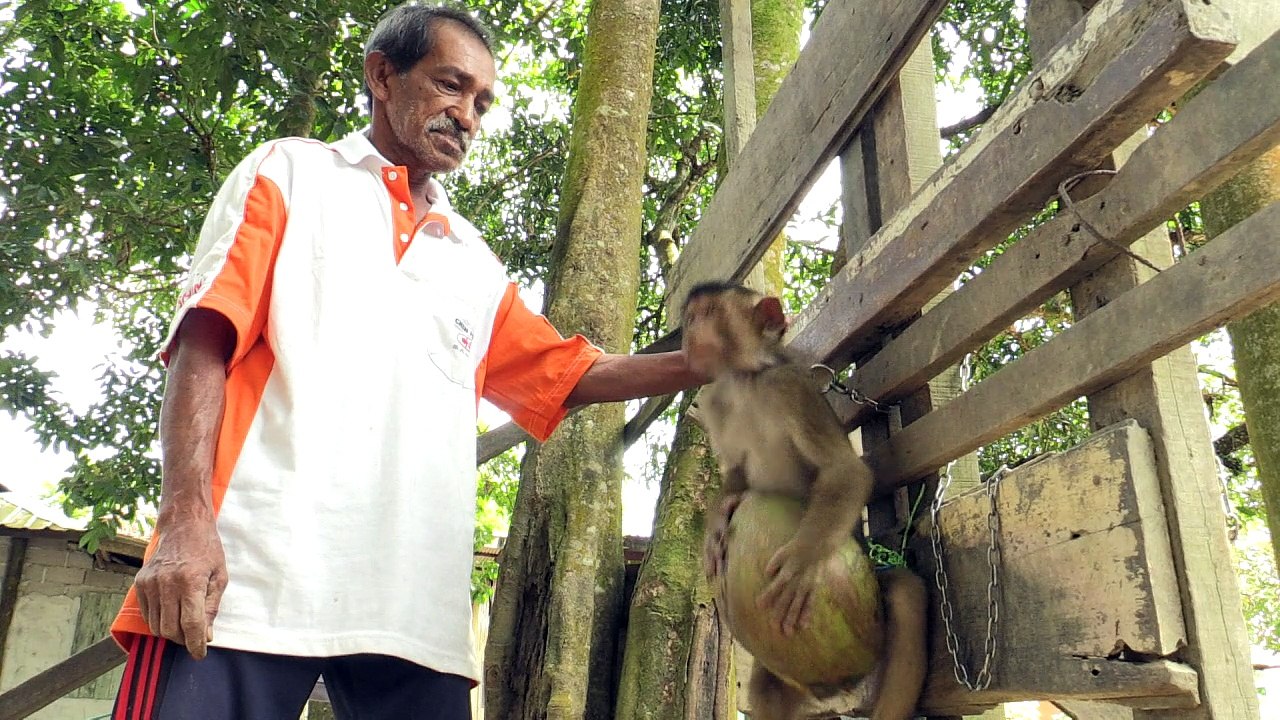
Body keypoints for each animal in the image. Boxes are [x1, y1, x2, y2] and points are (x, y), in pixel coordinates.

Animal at [682, 281, 927, 720]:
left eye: (706, 313)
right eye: (690, 317)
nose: (688, 333)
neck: (745, 380)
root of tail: (839, 692)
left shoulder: (789, 387)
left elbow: (844, 471)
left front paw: (801, 562)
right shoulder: (713, 401)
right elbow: (735, 478)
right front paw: (716, 525)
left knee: (906, 593)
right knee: (766, 688)